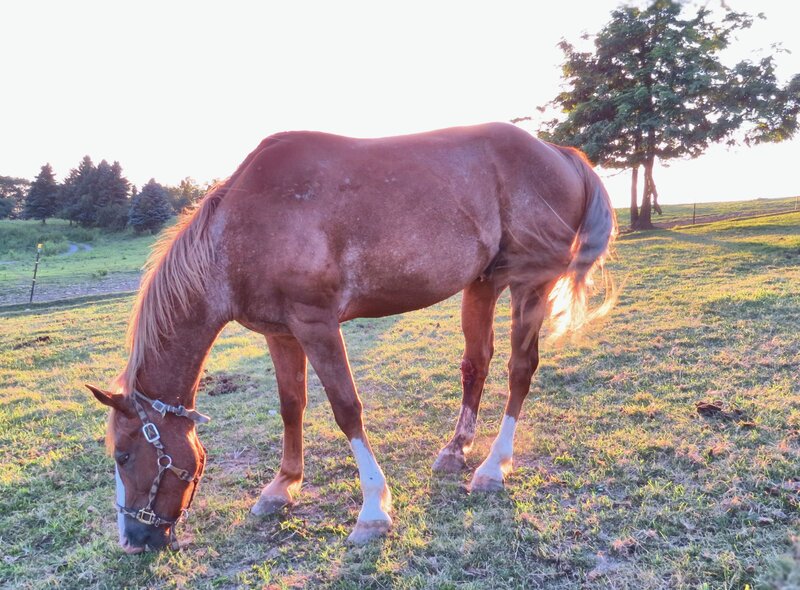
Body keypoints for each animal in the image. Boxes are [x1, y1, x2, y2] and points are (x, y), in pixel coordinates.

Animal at [87, 122, 616, 552]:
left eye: (124, 455)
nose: (133, 540)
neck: (239, 230)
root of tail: (558, 152)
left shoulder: (316, 325)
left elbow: (347, 409)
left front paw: (373, 510)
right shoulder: (281, 333)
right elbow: (291, 405)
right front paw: (283, 486)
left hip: (530, 285)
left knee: (519, 369)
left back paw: (492, 467)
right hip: (483, 284)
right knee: (477, 363)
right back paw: (455, 450)